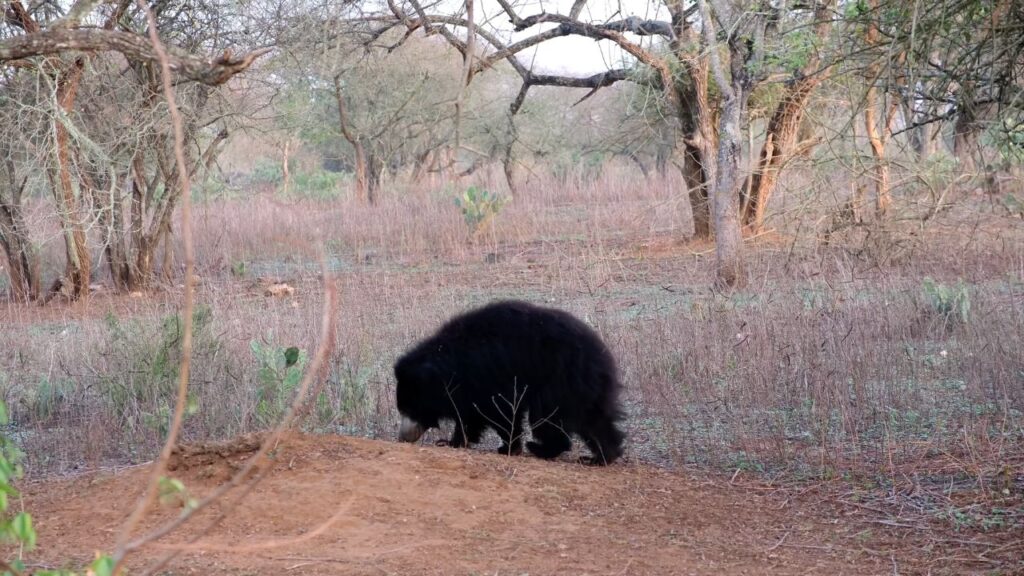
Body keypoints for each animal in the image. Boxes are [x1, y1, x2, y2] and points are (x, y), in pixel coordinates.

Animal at [393, 299, 626, 465]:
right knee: (594, 419)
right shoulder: (470, 388)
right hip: (585, 387)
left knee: (546, 418)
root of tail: (601, 355)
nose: (403, 437)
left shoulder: (488, 375)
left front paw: (508, 448)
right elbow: (469, 417)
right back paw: (601, 457)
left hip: (558, 380)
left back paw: (540, 448)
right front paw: (451, 442)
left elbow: (500, 412)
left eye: (410, 409)